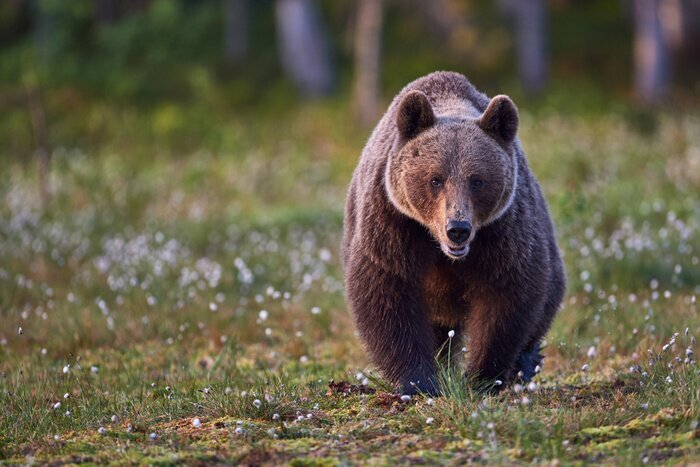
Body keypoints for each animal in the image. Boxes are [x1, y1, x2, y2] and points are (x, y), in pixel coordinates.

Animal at [342, 72, 568, 394]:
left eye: (477, 180)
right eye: (435, 179)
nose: (457, 229)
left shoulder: (502, 230)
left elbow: (506, 295)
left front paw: (482, 377)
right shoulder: (393, 221)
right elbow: (388, 292)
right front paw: (418, 381)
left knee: (546, 298)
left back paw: (525, 362)